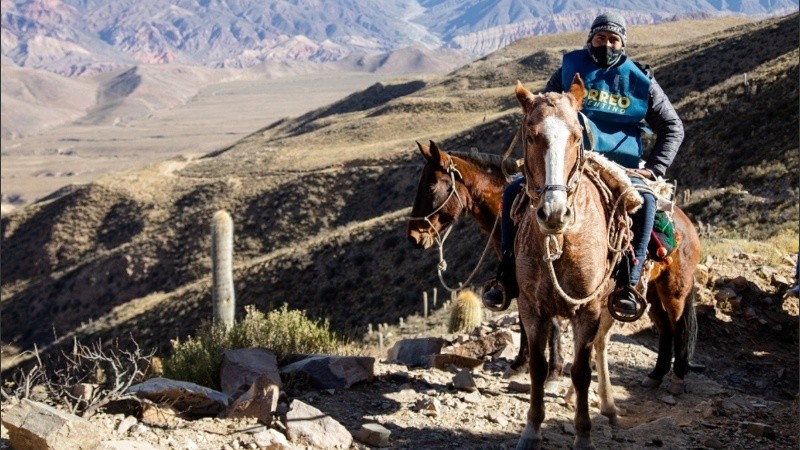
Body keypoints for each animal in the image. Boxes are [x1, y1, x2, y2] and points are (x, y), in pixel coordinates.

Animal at [516, 75, 696, 448]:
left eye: (576, 136)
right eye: (531, 135)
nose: (554, 213)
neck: (561, 241)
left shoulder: (587, 309)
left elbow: (581, 370)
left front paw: (583, 434)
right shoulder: (532, 308)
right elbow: (539, 368)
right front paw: (531, 430)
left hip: (671, 293)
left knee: (675, 328)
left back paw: (672, 380)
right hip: (635, 299)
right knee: (611, 342)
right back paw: (619, 400)